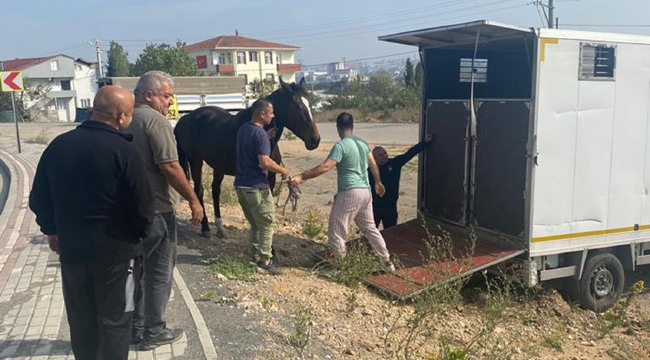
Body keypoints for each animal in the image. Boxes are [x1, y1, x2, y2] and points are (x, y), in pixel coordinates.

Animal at [173, 77, 320, 238]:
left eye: (309, 104)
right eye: (296, 106)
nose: (315, 140)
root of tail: (185, 119)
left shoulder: (270, 178)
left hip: (218, 166)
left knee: (215, 190)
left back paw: (220, 228)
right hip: (195, 161)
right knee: (199, 190)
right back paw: (205, 227)